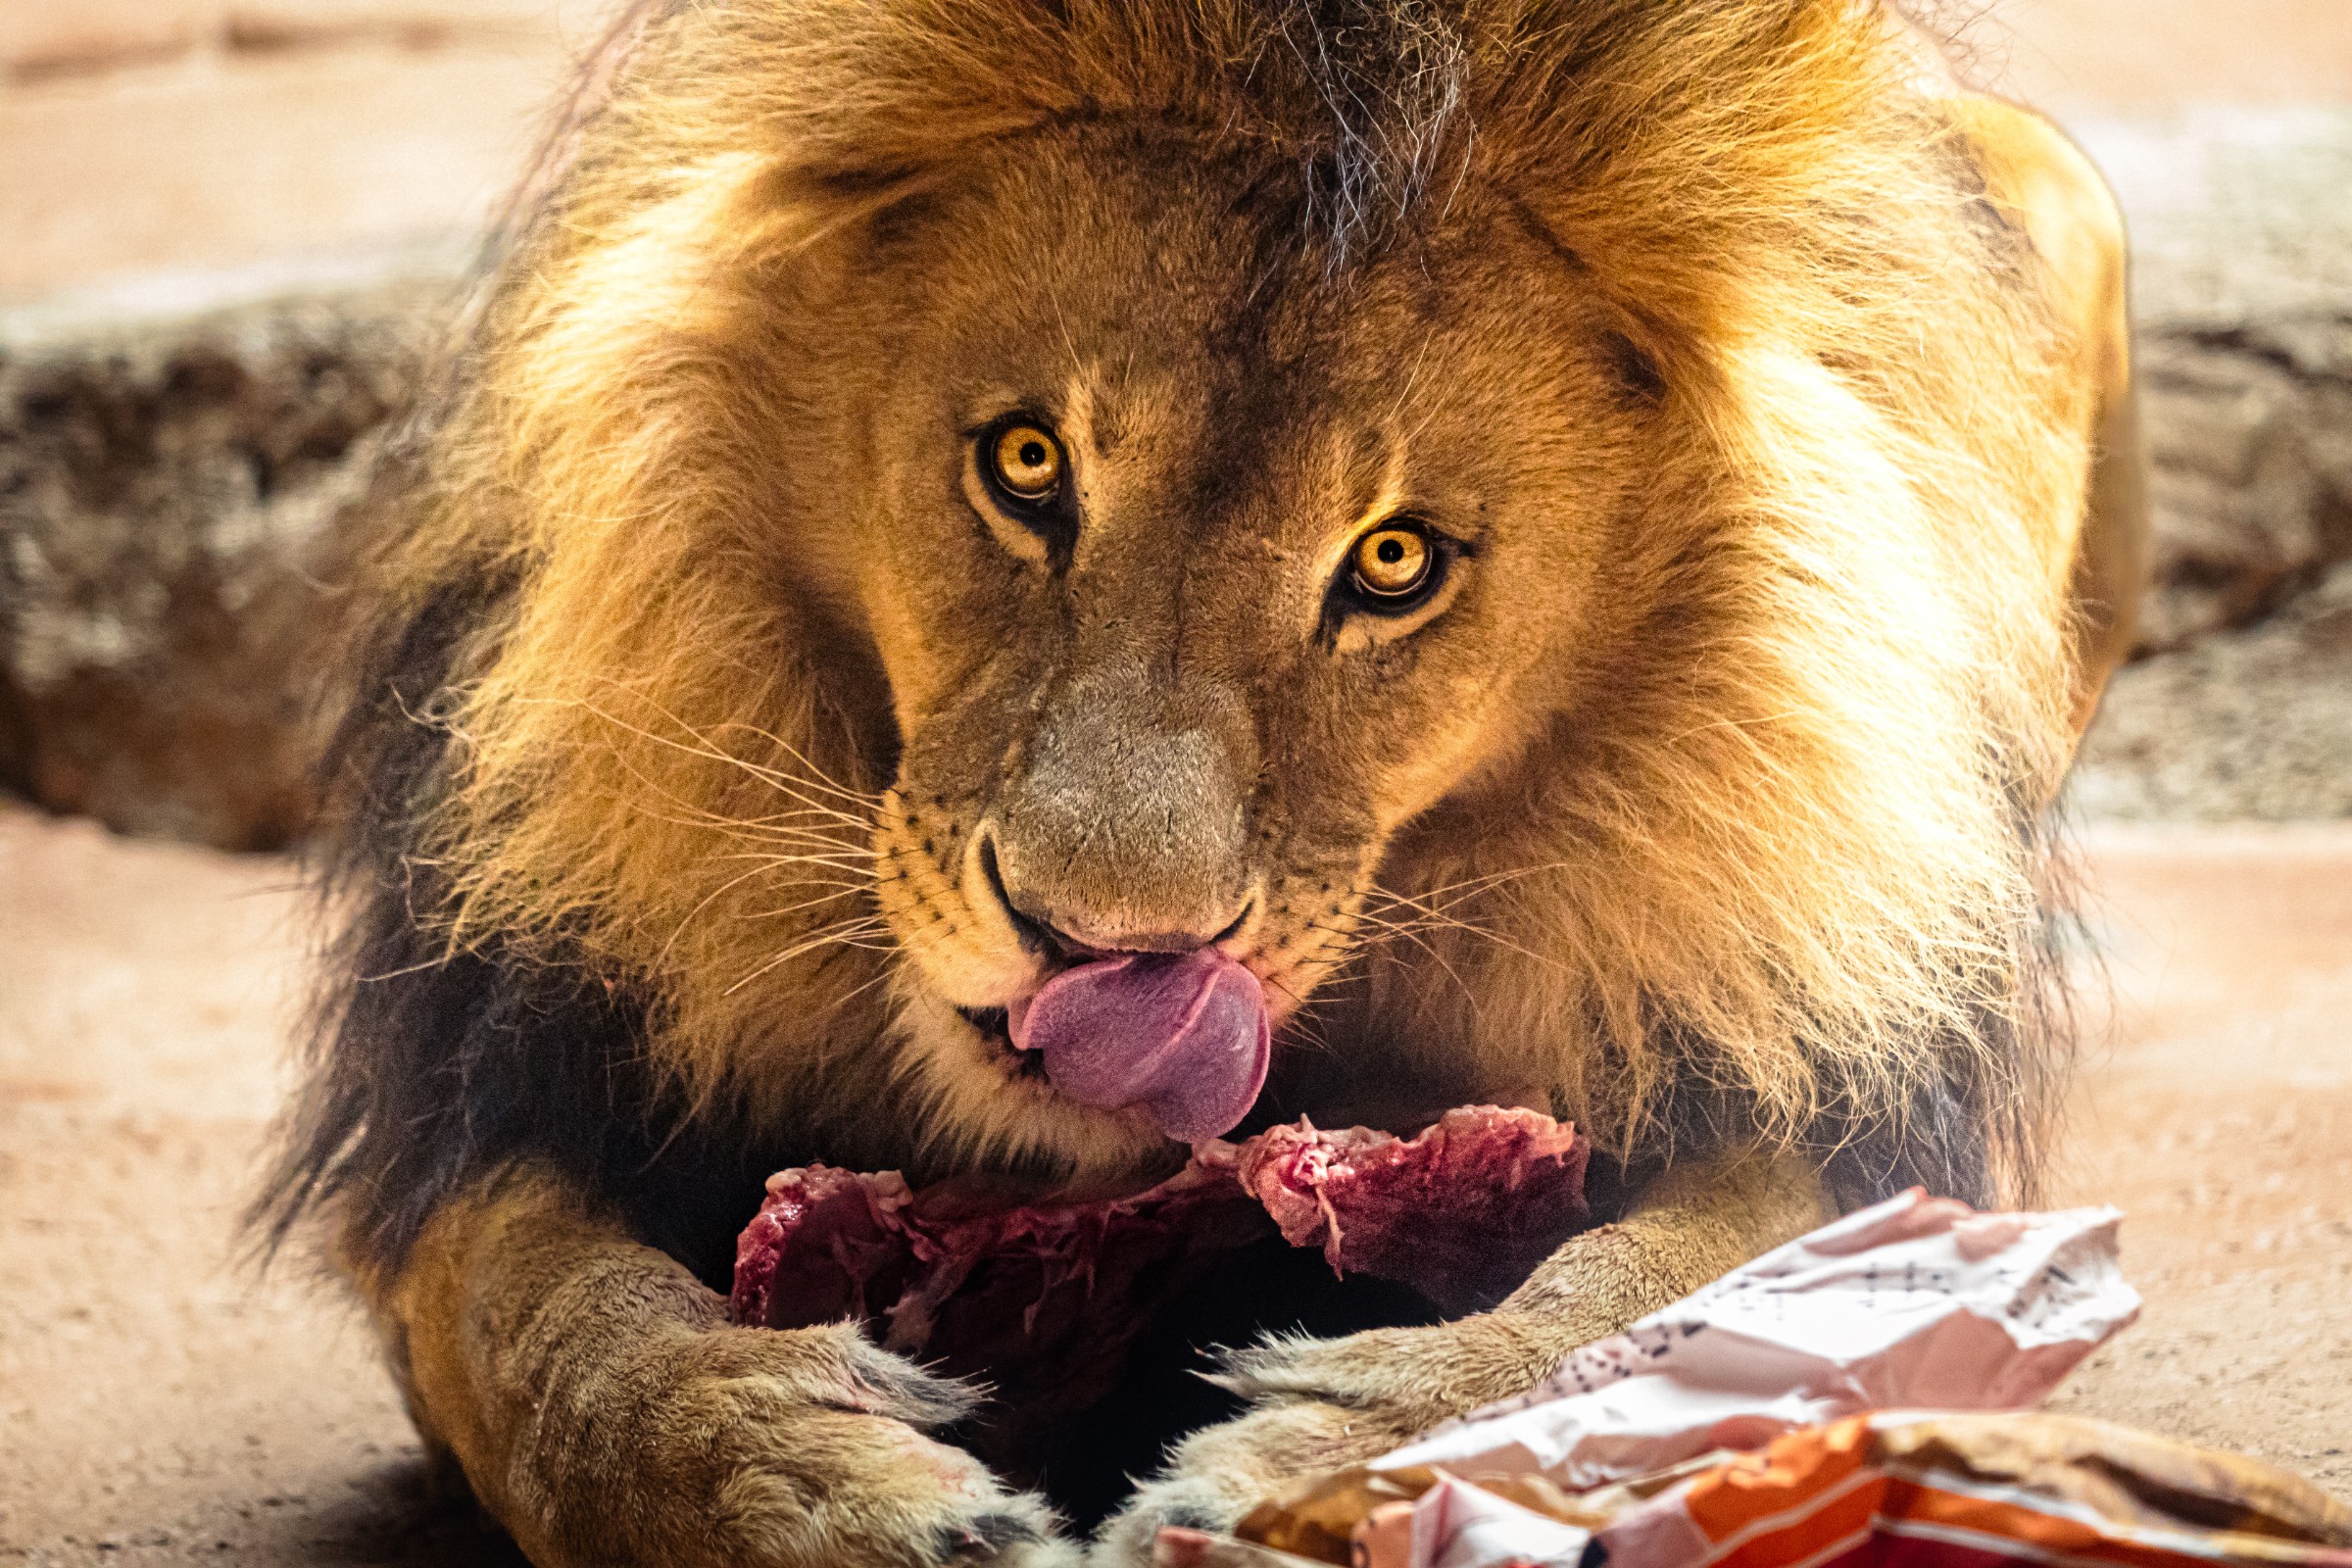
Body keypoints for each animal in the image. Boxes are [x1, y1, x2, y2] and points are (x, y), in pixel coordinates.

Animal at [255, 1, 2147, 1564]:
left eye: (1394, 561)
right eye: (1027, 461)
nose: (1109, 954)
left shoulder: (1817, 1092)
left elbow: (1636, 1304)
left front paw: (1324, 1465)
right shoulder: (492, 1091)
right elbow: (552, 1340)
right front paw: (812, 1486)